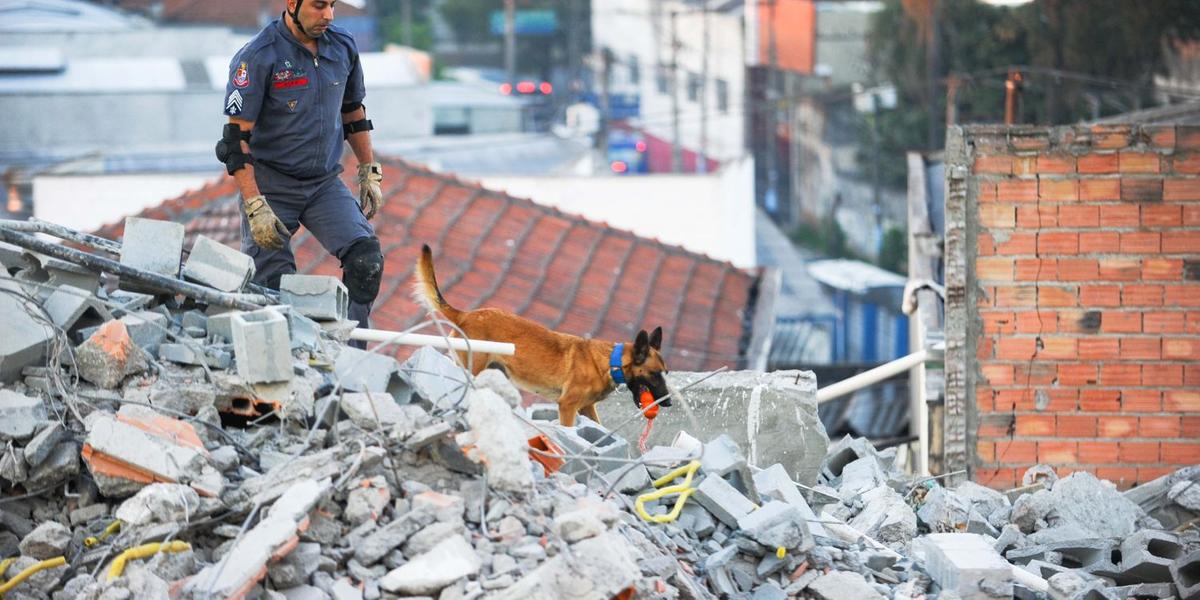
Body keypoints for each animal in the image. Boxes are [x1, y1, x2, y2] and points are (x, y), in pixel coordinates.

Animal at [415, 243, 672, 427]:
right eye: (654, 374)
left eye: (665, 373)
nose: (668, 402)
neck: (610, 361)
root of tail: (465, 315)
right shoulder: (567, 407)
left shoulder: (586, 408)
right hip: (472, 368)